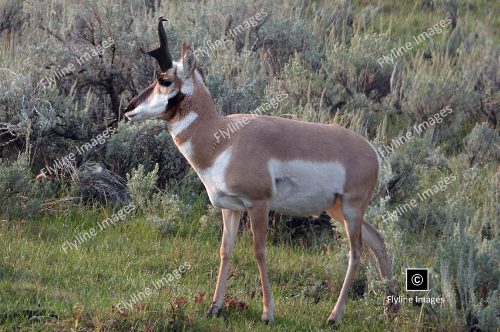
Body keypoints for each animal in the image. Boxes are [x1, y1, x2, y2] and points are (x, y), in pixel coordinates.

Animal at [126, 17, 398, 324]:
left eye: (164, 80)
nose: (128, 108)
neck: (223, 137)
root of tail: (371, 150)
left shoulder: (258, 204)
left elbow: (259, 252)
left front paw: (268, 312)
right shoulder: (231, 208)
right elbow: (225, 251)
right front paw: (214, 307)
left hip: (350, 209)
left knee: (356, 251)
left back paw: (334, 316)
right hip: (337, 209)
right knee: (378, 239)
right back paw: (391, 308)